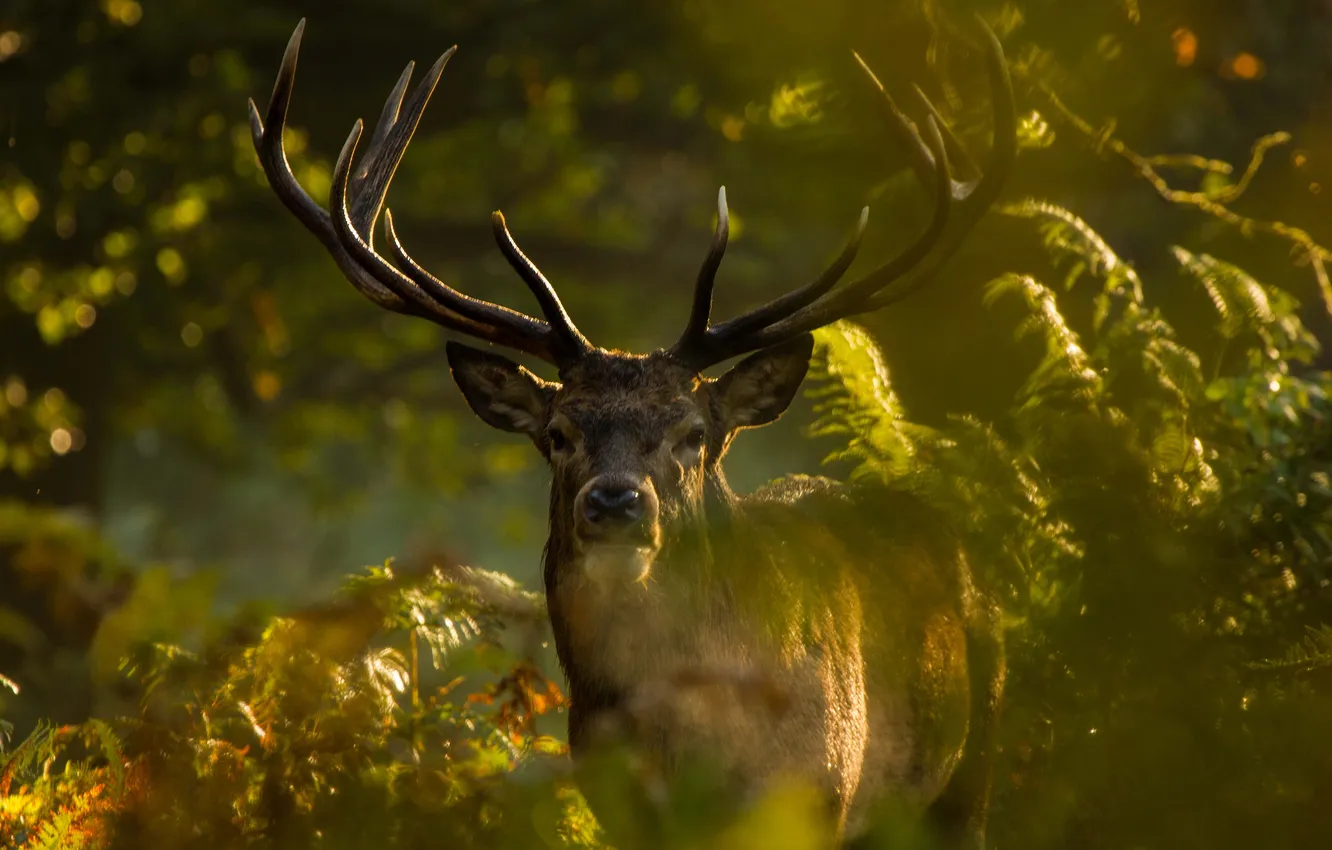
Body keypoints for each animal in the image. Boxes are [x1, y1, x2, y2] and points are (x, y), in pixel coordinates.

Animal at [248, 16, 1016, 849]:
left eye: (693, 433)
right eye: (557, 432)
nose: (614, 502)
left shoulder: (821, 790)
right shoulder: (612, 802)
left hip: (970, 764)